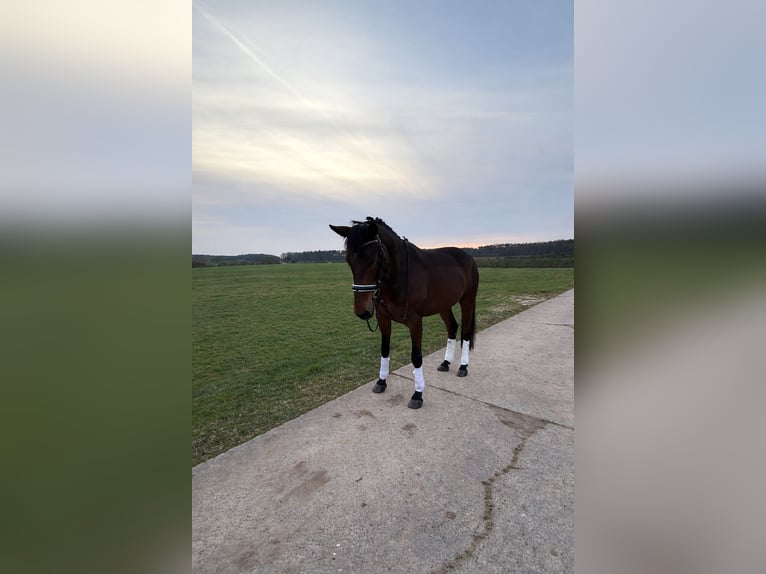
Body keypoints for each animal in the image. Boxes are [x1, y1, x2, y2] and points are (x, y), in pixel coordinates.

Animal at [329, 217, 479, 409]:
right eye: (349, 260)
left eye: (374, 259)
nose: (362, 311)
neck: (398, 277)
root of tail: (467, 257)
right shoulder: (383, 318)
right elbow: (384, 350)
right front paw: (381, 382)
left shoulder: (415, 322)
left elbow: (416, 357)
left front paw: (417, 394)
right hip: (443, 305)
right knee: (452, 327)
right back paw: (446, 363)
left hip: (467, 300)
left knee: (466, 332)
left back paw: (463, 367)